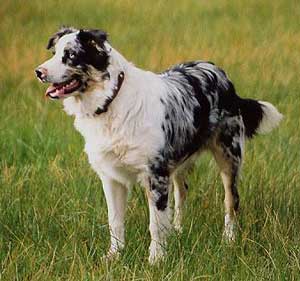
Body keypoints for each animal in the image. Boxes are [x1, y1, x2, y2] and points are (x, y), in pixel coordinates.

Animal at [35, 26, 284, 262]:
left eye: (71, 55)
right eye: (54, 53)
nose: (38, 72)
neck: (111, 99)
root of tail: (219, 72)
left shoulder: (155, 175)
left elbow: (155, 224)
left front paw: (156, 259)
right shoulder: (112, 177)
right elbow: (115, 220)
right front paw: (115, 255)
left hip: (228, 157)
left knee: (231, 201)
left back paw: (229, 239)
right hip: (179, 163)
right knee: (182, 194)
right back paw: (178, 230)